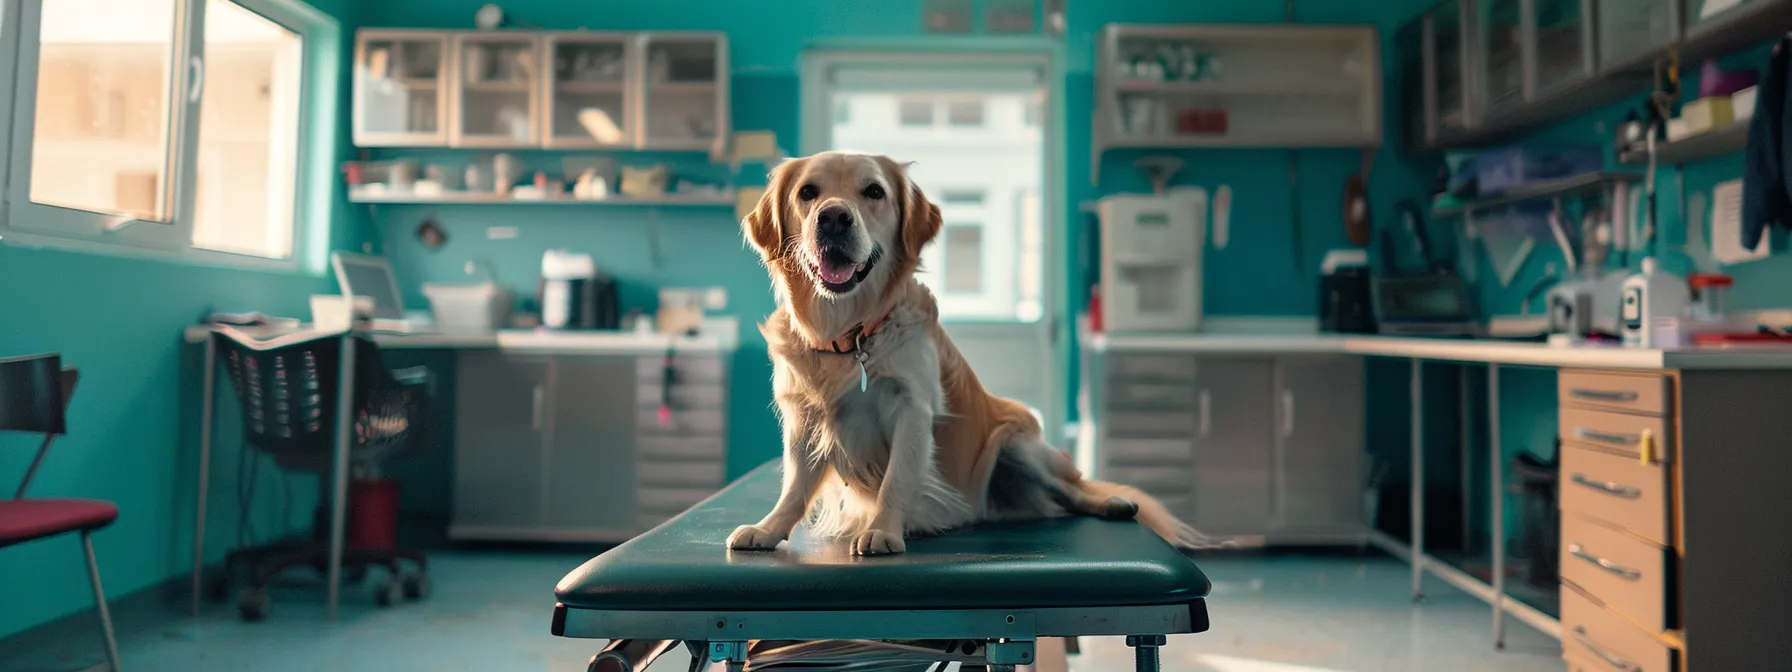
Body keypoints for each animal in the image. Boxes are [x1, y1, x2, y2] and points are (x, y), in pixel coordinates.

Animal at [723, 152, 1204, 559]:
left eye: (873, 191)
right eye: (808, 192)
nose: (834, 218)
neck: (848, 335)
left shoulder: (912, 408)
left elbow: (896, 478)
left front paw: (882, 529)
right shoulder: (804, 416)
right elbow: (794, 485)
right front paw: (769, 529)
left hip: (1016, 444)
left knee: (1074, 489)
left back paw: (1115, 504)